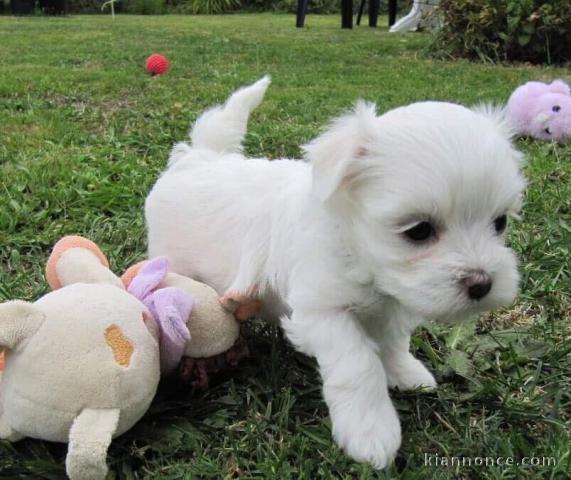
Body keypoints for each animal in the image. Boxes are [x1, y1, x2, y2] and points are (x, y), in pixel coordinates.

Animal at [144, 78, 528, 468]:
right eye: (419, 230)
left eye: (500, 222)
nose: (482, 284)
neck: (359, 254)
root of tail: (198, 157)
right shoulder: (319, 310)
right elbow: (358, 361)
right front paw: (370, 431)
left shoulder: (392, 305)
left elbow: (393, 341)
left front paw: (405, 372)